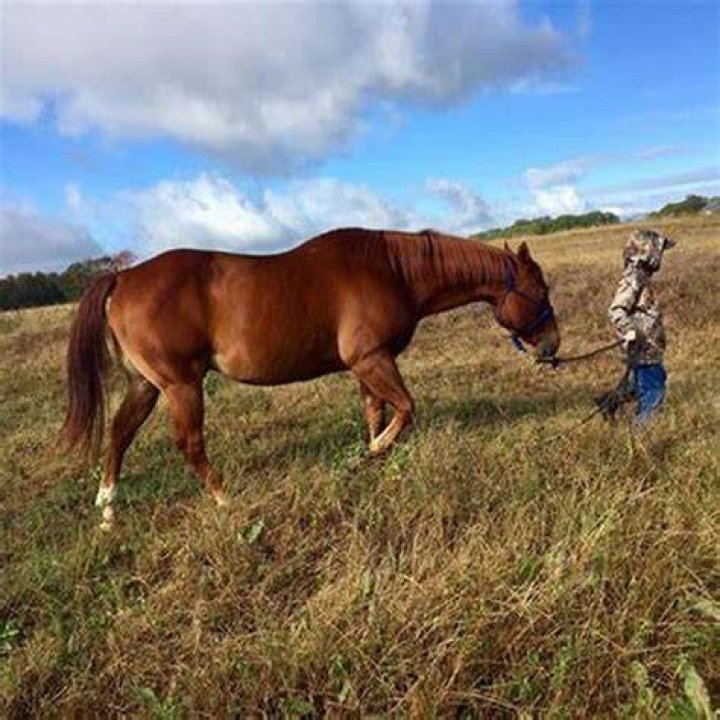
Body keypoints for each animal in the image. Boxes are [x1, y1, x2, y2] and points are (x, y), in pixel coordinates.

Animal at [60, 228, 560, 529]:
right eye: (539, 291)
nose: (553, 345)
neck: (391, 270)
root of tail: (124, 277)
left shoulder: (366, 366)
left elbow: (377, 413)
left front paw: (370, 459)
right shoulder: (372, 360)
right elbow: (405, 409)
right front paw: (370, 455)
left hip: (146, 386)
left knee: (120, 433)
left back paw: (107, 508)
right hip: (181, 386)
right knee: (189, 444)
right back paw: (225, 502)